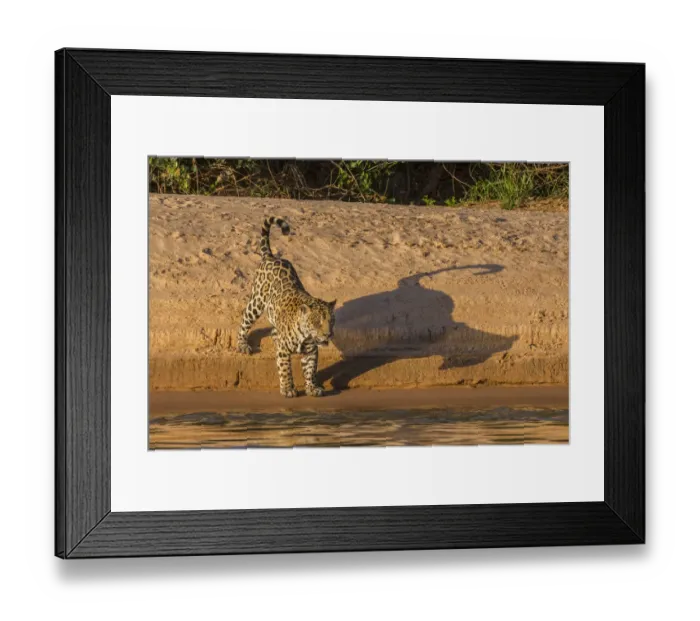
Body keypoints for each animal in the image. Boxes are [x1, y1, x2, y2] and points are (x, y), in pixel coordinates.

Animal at [236, 216, 336, 398]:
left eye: (331, 321)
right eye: (317, 322)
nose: (328, 334)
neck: (306, 335)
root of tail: (271, 256)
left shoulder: (311, 351)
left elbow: (310, 369)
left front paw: (312, 387)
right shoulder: (283, 350)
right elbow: (285, 368)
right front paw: (288, 389)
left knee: (273, 331)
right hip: (256, 302)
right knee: (245, 321)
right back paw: (242, 344)